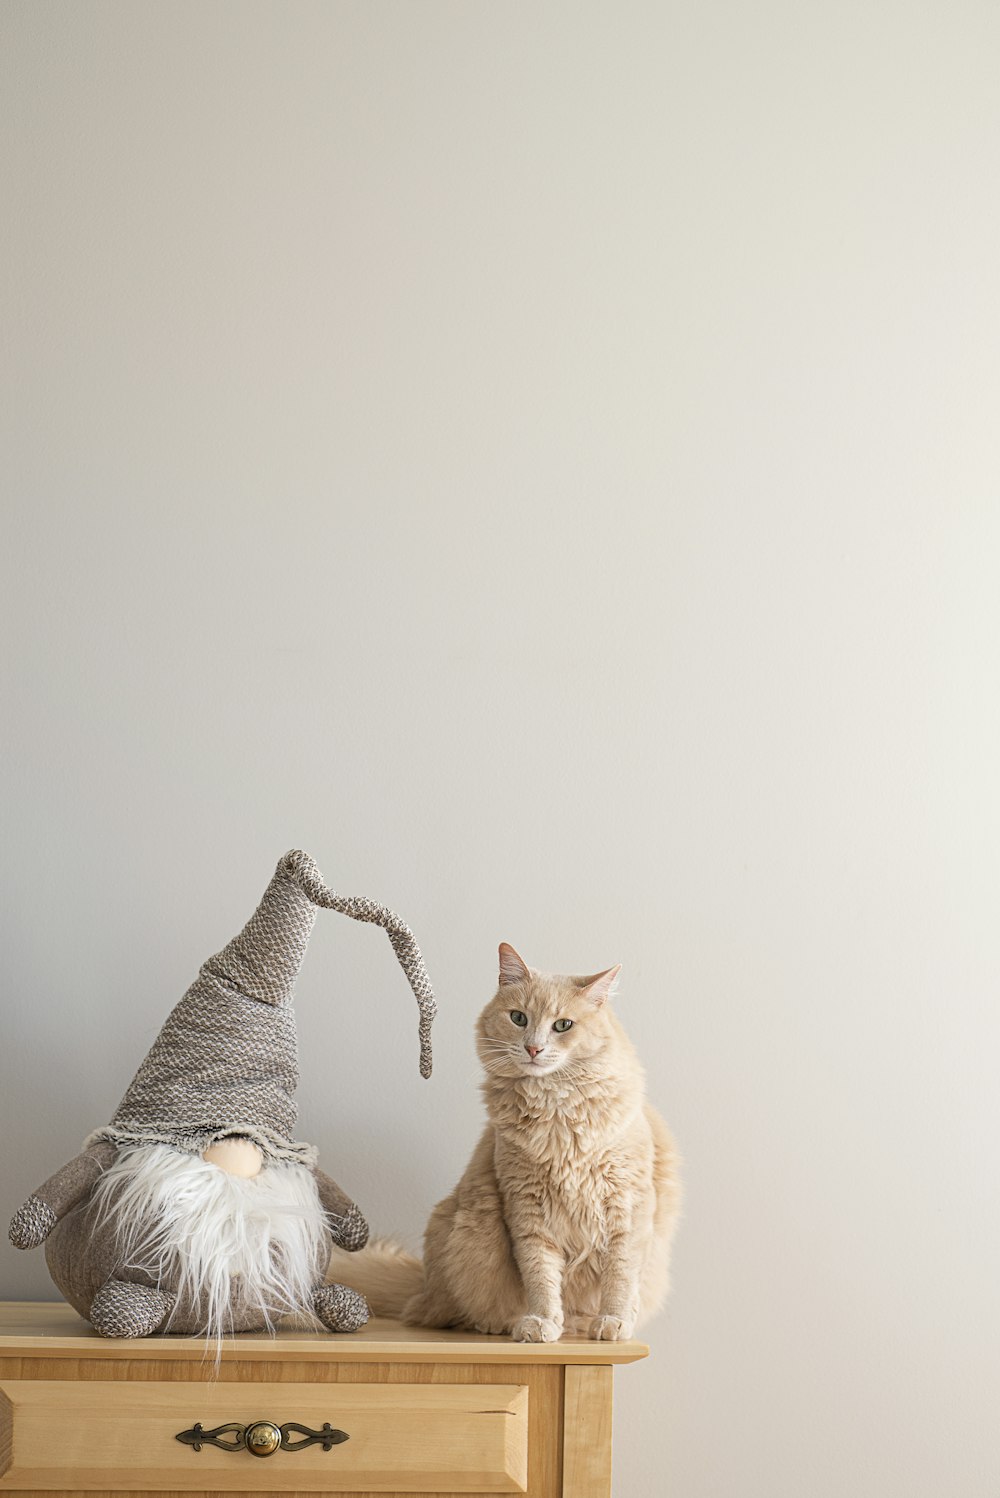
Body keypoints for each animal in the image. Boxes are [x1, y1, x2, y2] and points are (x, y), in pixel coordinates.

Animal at [327, 940, 679, 1342]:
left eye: (562, 1025)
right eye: (518, 1018)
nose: (533, 1049)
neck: (557, 1115)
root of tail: (424, 1284)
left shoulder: (627, 1206)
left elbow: (619, 1275)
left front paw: (613, 1321)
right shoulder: (527, 1208)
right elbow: (540, 1275)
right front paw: (542, 1322)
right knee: (449, 1313)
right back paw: (507, 1323)